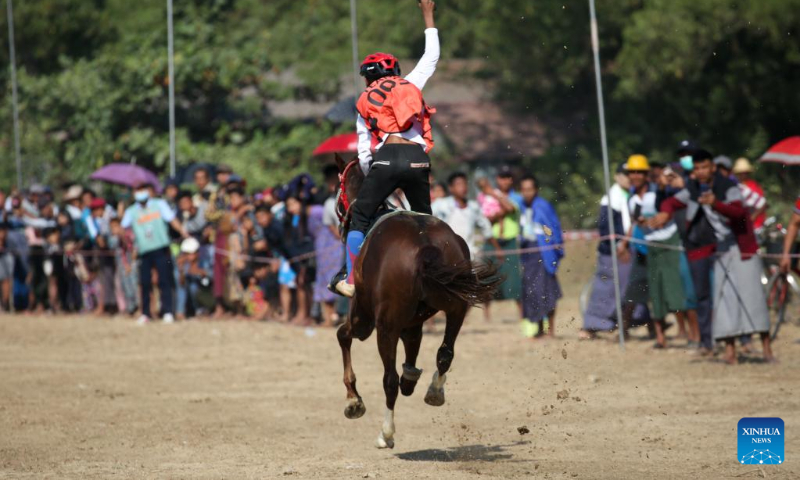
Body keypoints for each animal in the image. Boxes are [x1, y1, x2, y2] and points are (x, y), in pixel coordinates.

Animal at [332, 156, 500, 448]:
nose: (340, 221)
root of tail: (425, 246)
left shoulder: (364, 320)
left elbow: (343, 336)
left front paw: (354, 401)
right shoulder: (411, 324)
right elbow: (413, 356)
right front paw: (411, 379)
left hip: (384, 327)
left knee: (389, 379)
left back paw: (386, 433)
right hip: (457, 307)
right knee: (445, 353)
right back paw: (433, 390)